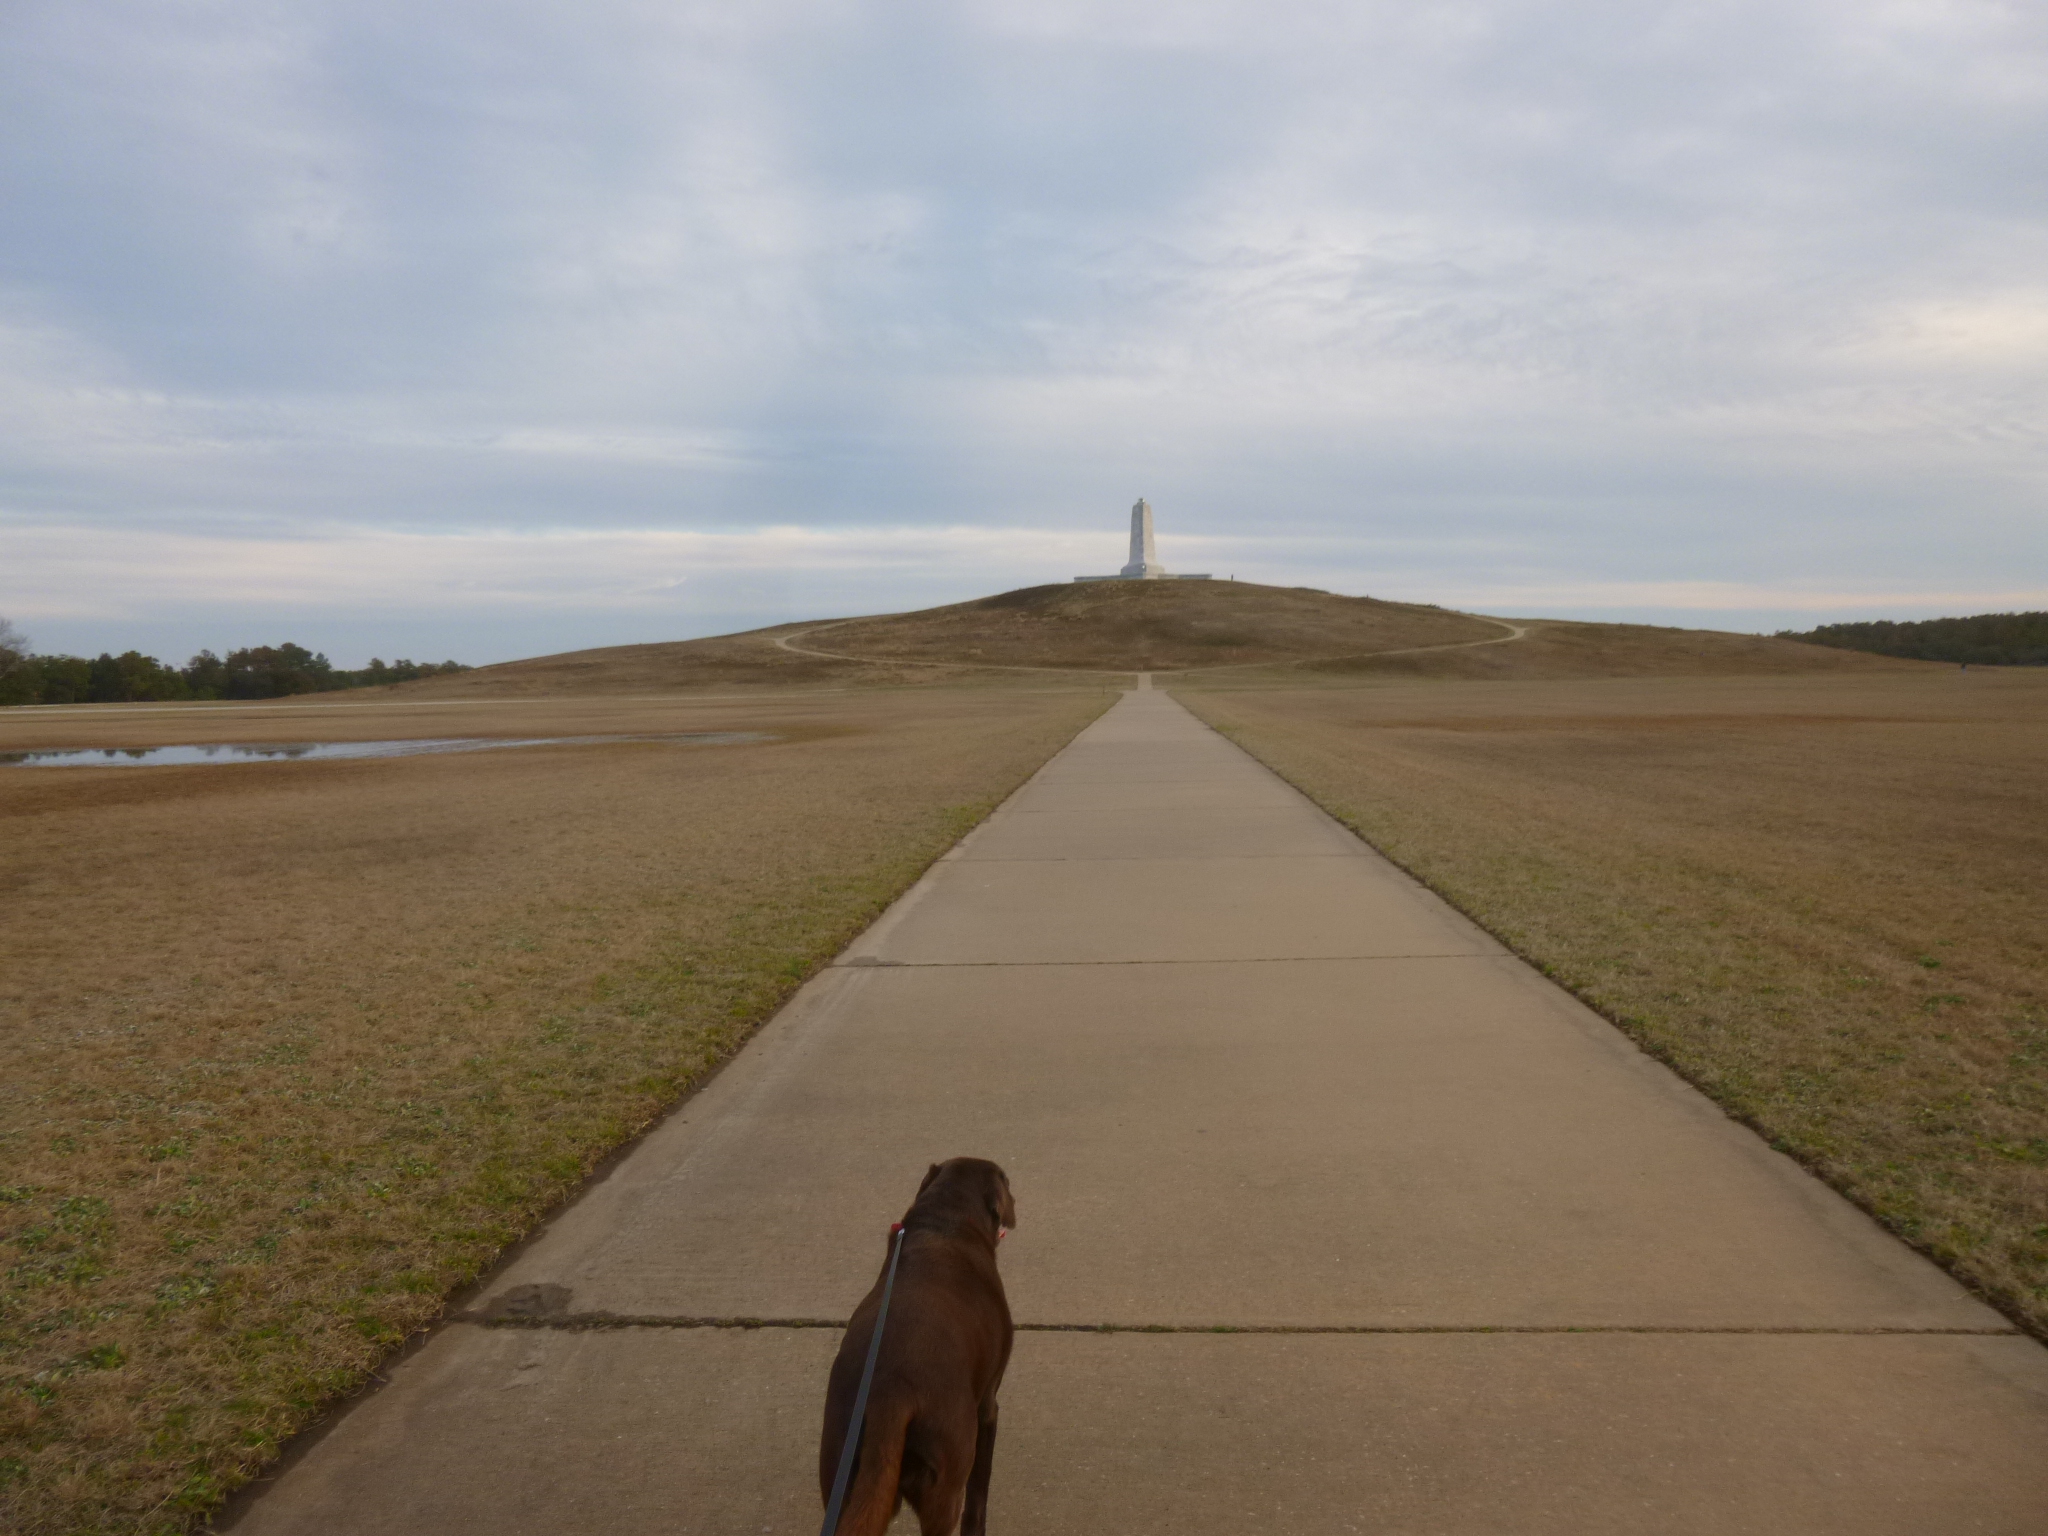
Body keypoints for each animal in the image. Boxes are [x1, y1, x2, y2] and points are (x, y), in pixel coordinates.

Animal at [819, 1158, 1016, 1536]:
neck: (945, 1223)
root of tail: (889, 1393)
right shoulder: (988, 1406)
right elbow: (978, 1500)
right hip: (946, 1479)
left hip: (841, 1469)